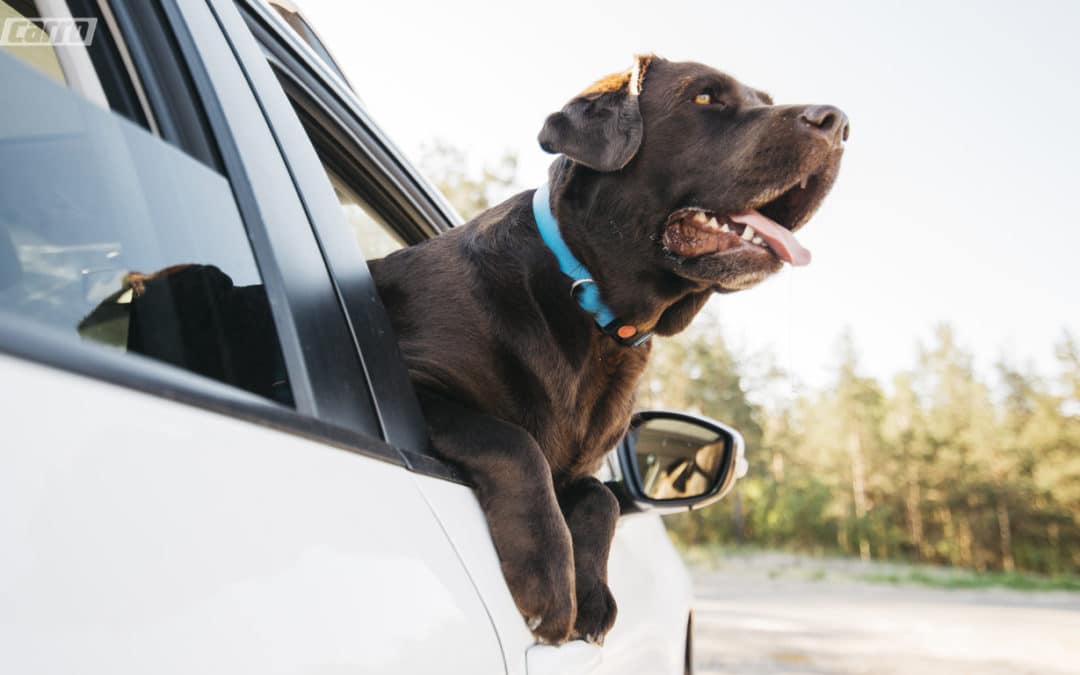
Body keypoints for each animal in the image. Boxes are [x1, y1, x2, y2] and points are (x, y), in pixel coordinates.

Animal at [367, 55, 846, 643]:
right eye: (705, 97)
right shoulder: (412, 378)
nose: (838, 122)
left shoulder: (580, 468)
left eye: (764, 99)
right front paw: (551, 583)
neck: (592, 309)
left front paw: (591, 595)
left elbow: (601, 499)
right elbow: (513, 441)